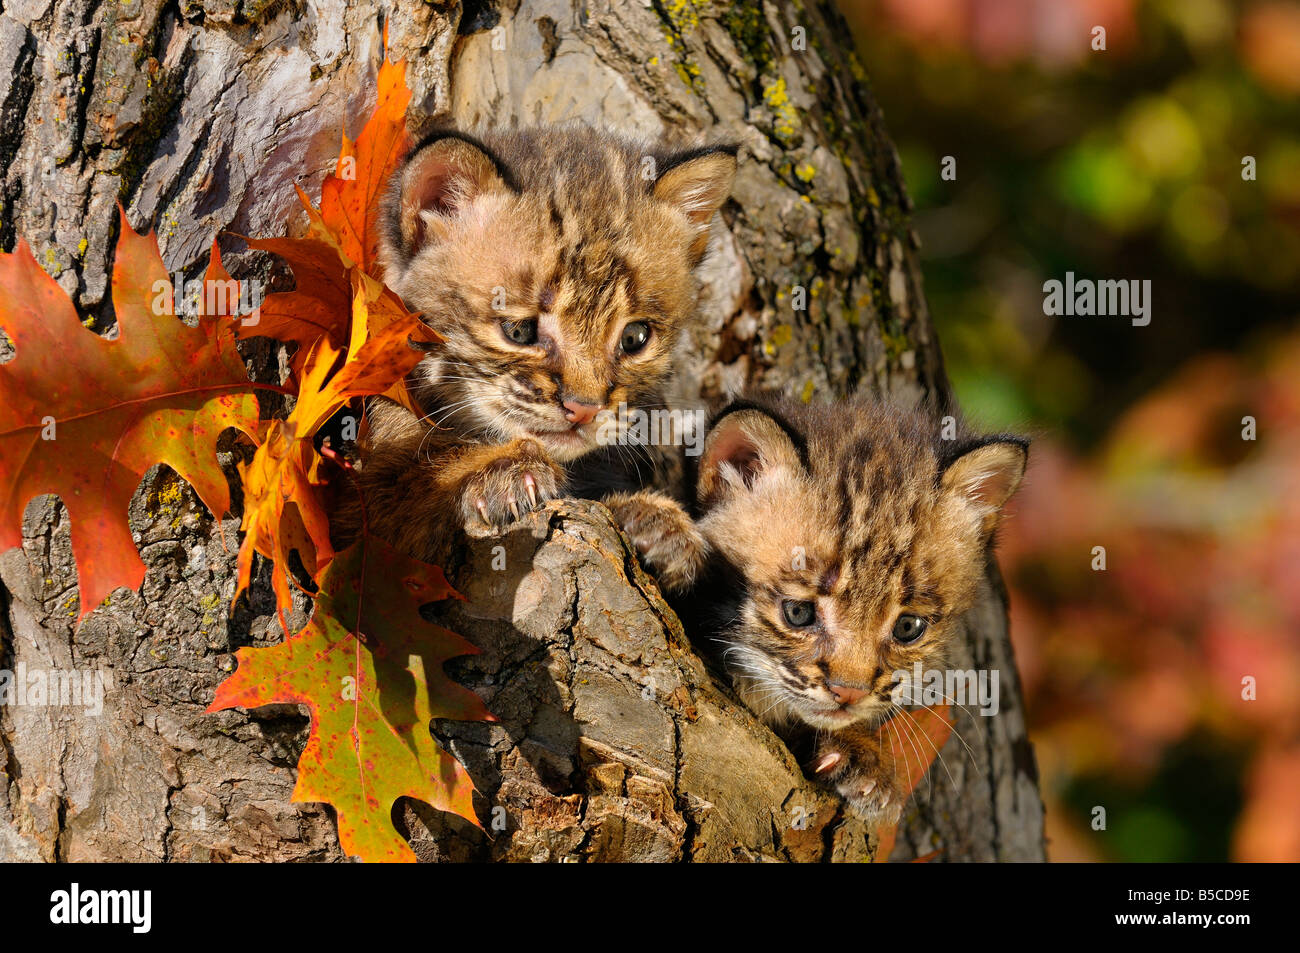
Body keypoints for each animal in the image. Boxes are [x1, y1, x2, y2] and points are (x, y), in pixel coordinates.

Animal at [340, 122, 738, 561]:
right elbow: (405, 485)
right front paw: (497, 470)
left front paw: (654, 522)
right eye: (519, 331)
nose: (584, 410)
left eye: (635, 338)